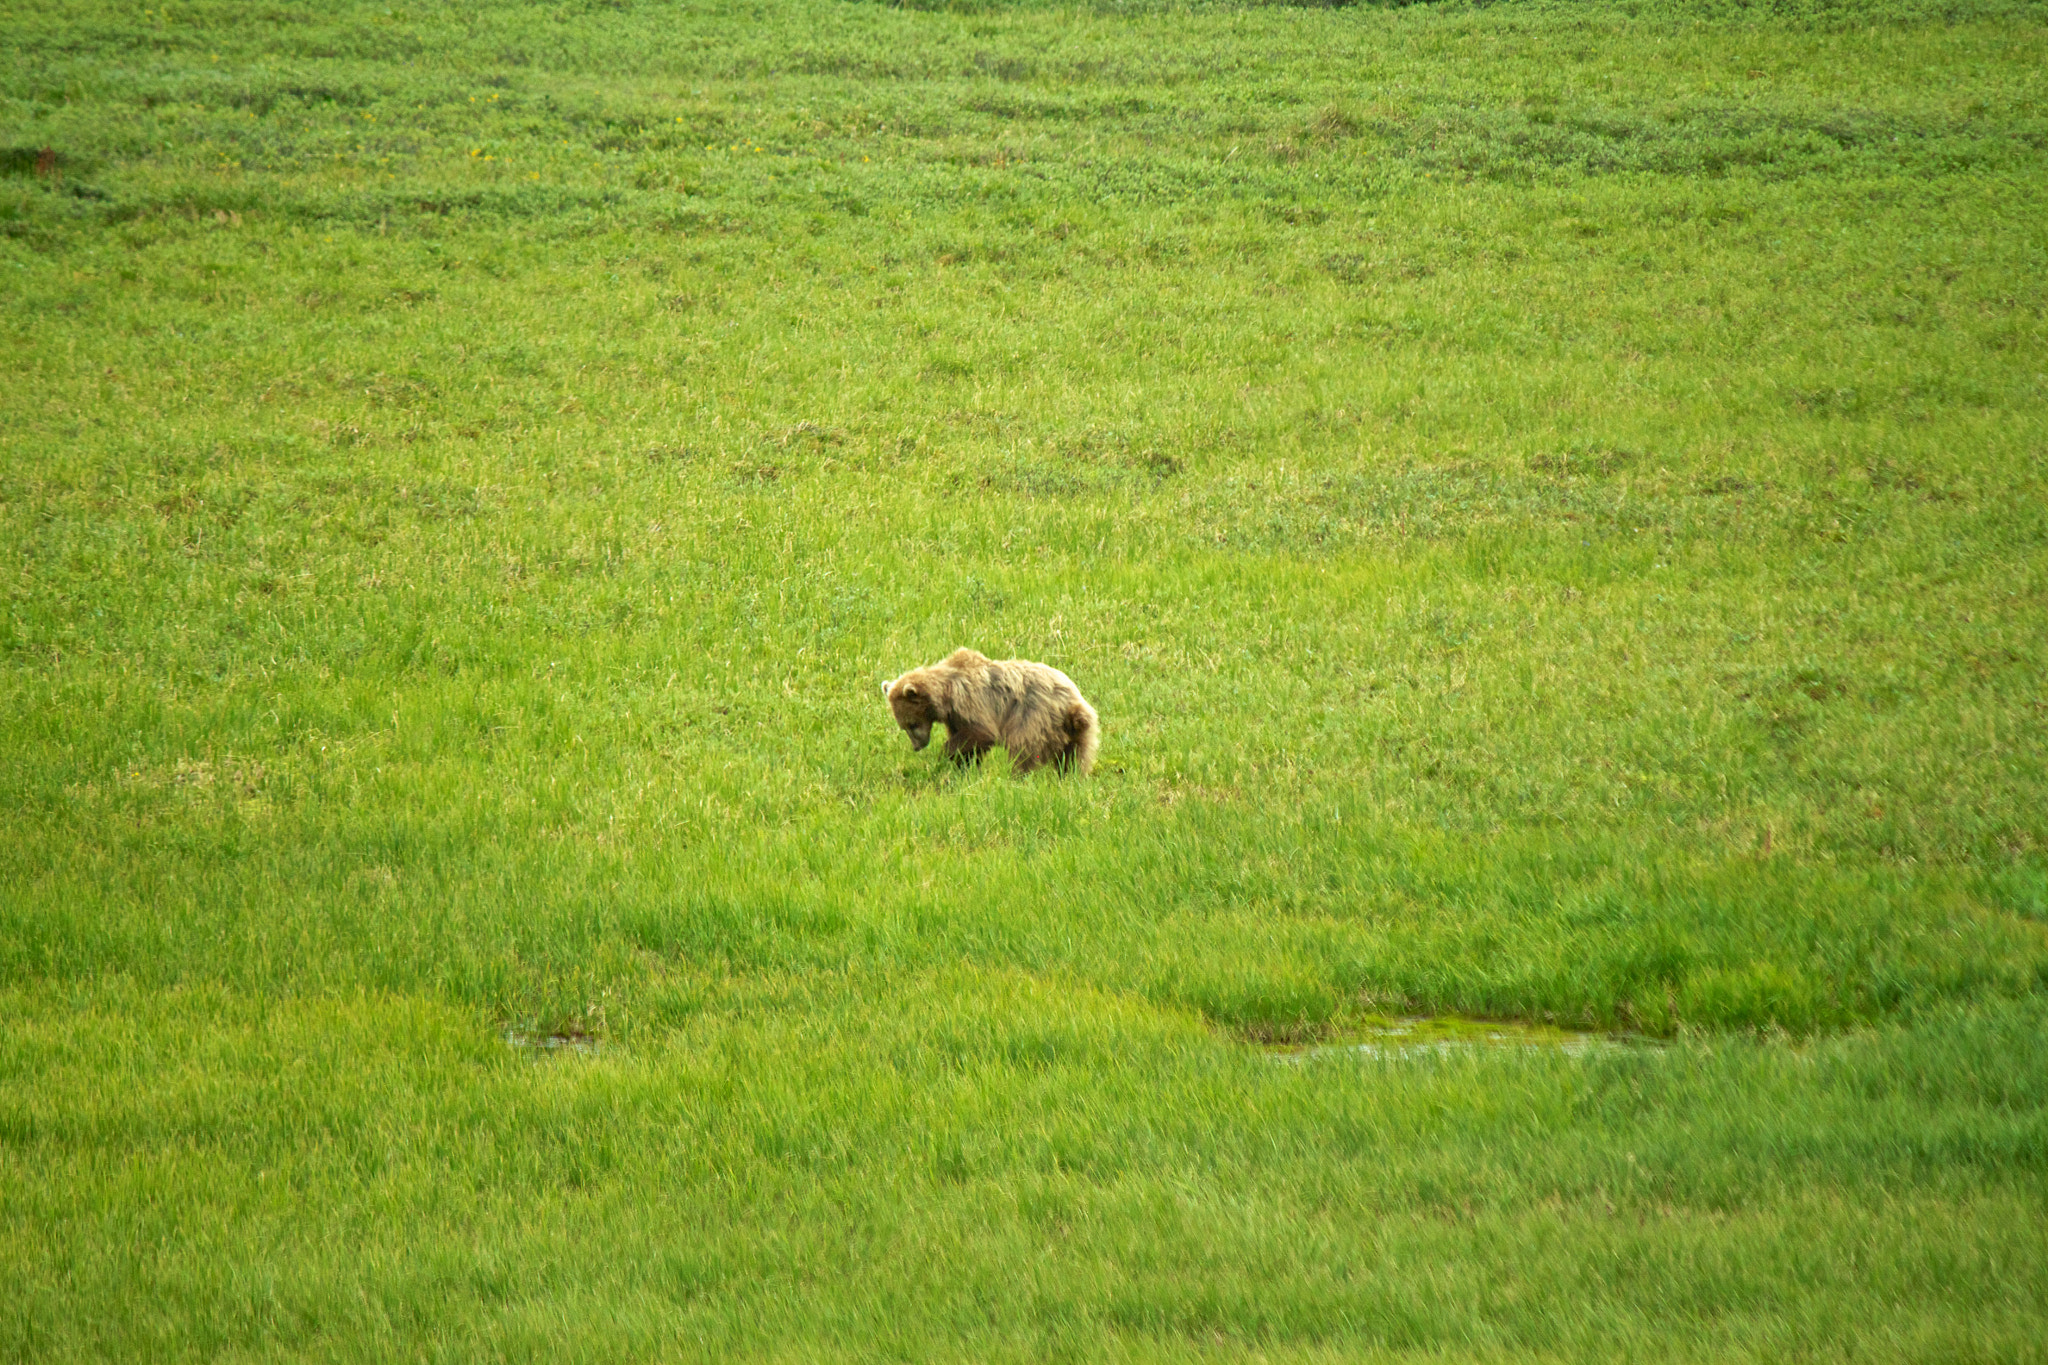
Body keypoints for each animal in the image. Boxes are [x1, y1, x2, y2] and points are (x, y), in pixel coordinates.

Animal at [883, 648, 1099, 776]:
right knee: (1075, 756)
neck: (946, 695)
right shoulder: (955, 717)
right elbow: (969, 745)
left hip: (1034, 715)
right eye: (904, 727)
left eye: (912, 724)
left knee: (1024, 749)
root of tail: (1072, 704)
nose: (917, 746)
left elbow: (981, 733)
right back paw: (1071, 777)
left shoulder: (970, 700)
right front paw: (965, 767)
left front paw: (946, 755)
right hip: (1078, 730)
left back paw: (1017, 776)